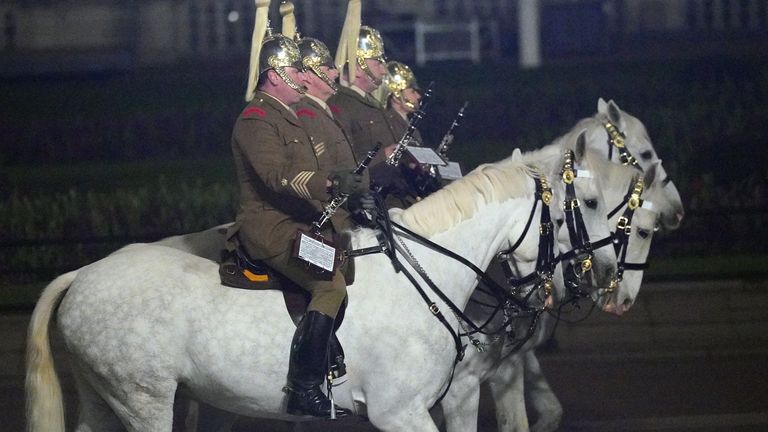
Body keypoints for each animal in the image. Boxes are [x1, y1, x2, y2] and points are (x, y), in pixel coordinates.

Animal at [25, 138, 616, 428]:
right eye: (581, 206)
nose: (597, 276)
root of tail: (83, 274)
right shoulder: (399, 413)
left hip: (104, 399)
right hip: (143, 401)